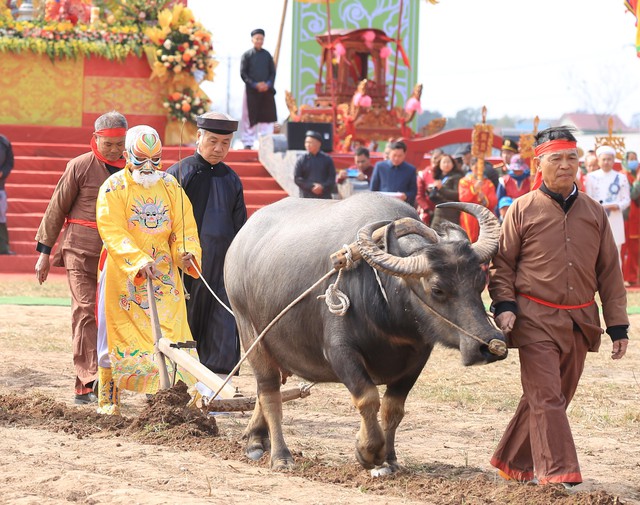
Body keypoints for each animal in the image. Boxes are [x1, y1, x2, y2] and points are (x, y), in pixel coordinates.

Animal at [222, 192, 508, 472]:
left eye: (480, 281)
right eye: (437, 289)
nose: (489, 345)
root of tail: (239, 241)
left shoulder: (418, 357)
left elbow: (394, 408)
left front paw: (390, 459)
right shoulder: (340, 352)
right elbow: (368, 398)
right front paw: (368, 452)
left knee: (263, 391)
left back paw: (256, 439)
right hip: (250, 332)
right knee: (269, 392)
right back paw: (280, 456)